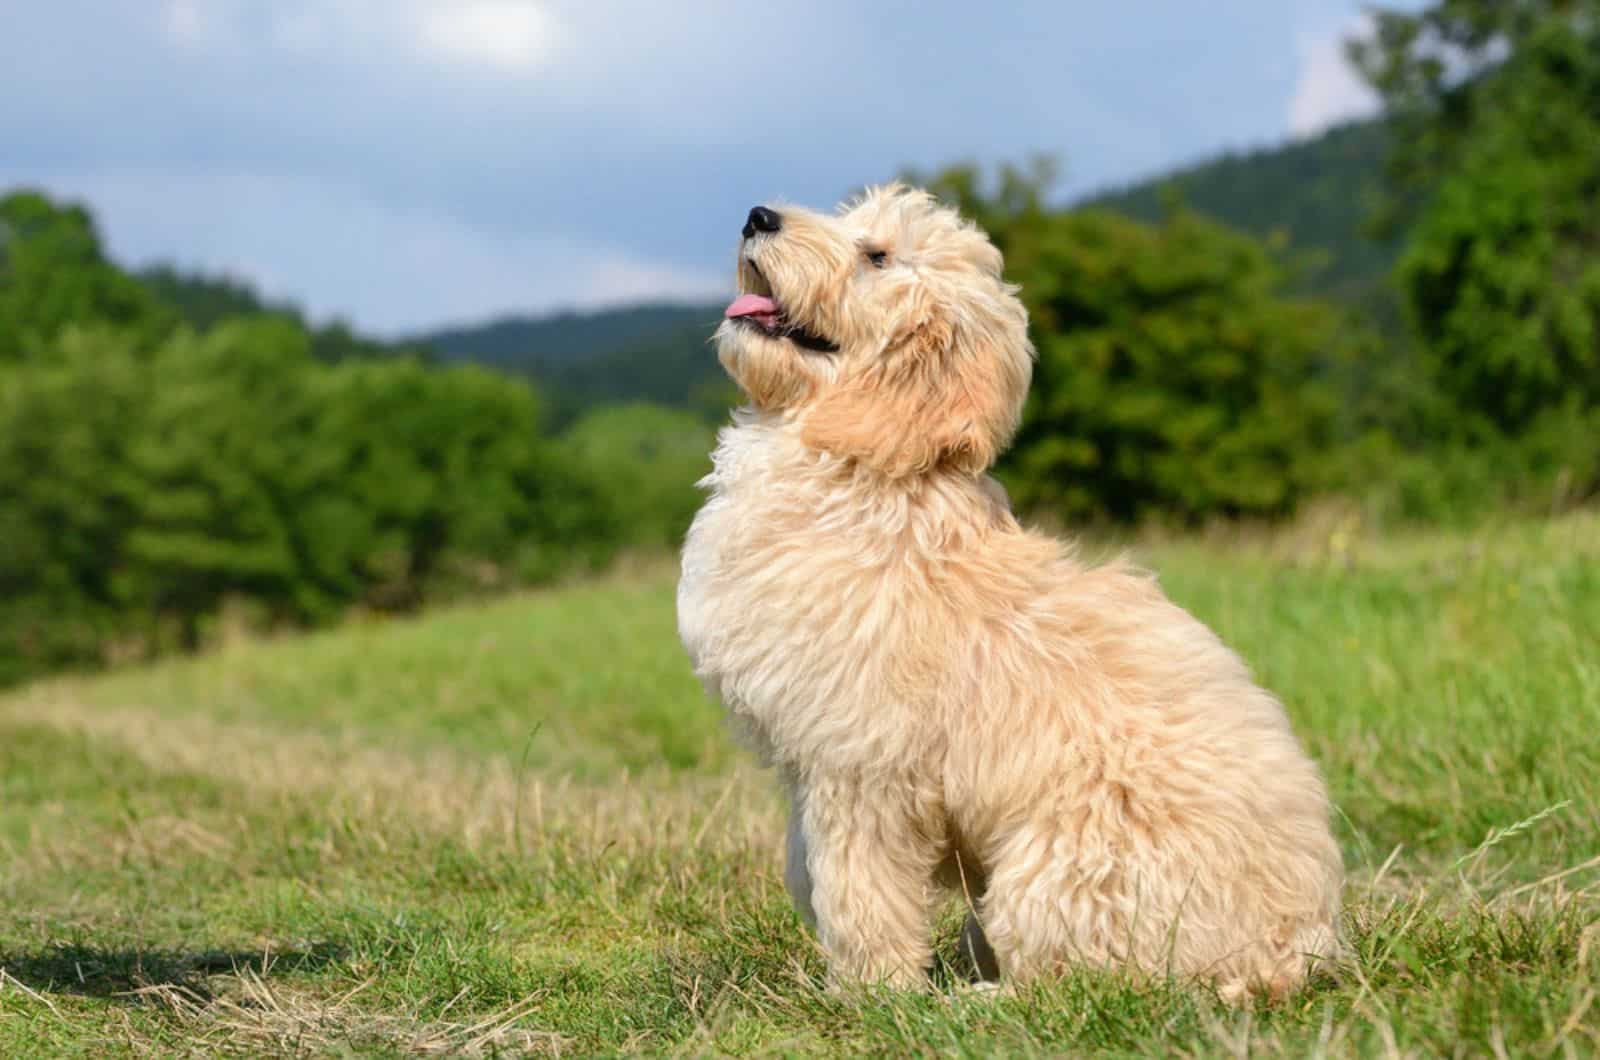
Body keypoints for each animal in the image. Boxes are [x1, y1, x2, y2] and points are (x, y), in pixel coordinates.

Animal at [672, 184, 1337, 1005]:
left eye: (876, 257)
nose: (759, 215)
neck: (866, 470)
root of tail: (1290, 951)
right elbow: (809, 863)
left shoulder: (863, 765)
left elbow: (859, 884)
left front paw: (869, 990)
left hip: (1059, 869)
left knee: (1071, 983)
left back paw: (975, 1000)